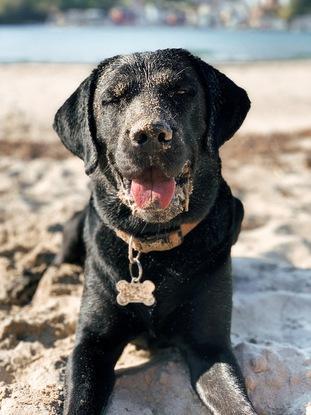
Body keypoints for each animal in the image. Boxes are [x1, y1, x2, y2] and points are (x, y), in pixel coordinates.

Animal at [53, 47, 258, 414]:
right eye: (112, 98)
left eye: (181, 92)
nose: (149, 135)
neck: (152, 242)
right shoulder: (91, 345)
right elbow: (79, 400)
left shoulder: (210, 346)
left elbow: (237, 403)